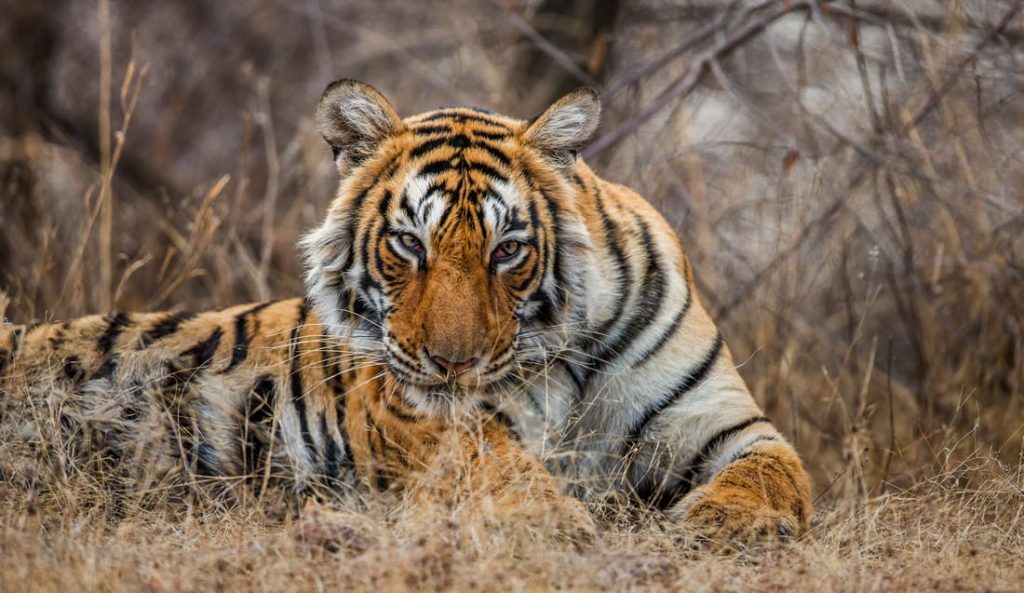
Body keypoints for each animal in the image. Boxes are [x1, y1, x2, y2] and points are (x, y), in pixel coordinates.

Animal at [0, 79, 812, 545]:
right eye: (407, 244)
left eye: (508, 250)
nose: (452, 362)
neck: (571, 358)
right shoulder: (418, 416)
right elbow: (495, 465)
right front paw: (552, 521)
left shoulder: (726, 423)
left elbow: (773, 473)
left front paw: (729, 521)